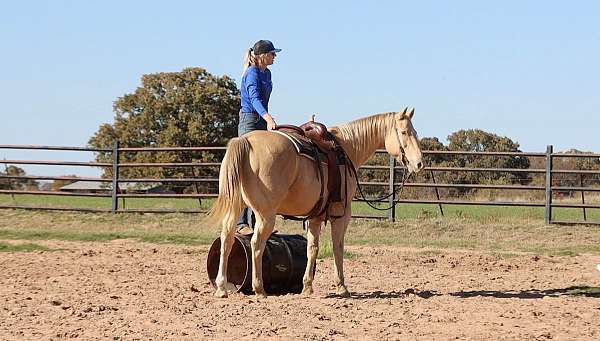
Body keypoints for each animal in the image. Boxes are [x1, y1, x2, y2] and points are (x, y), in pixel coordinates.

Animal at [209, 107, 424, 296]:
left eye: (414, 131)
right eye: (404, 132)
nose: (419, 163)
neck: (346, 149)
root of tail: (245, 141)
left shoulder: (314, 217)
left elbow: (312, 249)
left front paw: (307, 286)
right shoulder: (342, 215)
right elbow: (338, 247)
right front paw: (341, 286)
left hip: (235, 207)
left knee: (227, 238)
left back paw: (221, 287)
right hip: (266, 215)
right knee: (256, 244)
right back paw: (259, 288)